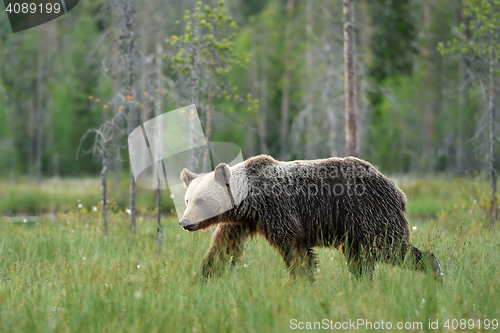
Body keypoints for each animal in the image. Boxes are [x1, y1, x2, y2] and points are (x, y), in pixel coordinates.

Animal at [179, 154, 442, 278]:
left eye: (200, 200)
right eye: (187, 200)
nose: (184, 222)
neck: (251, 203)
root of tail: (397, 189)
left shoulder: (278, 210)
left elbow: (296, 250)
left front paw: (302, 281)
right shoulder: (240, 223)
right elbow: (221, 251)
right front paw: (201, 278)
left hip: (369, 212)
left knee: (391, 248)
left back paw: (435, 272)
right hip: (354, 230)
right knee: (360, 261)